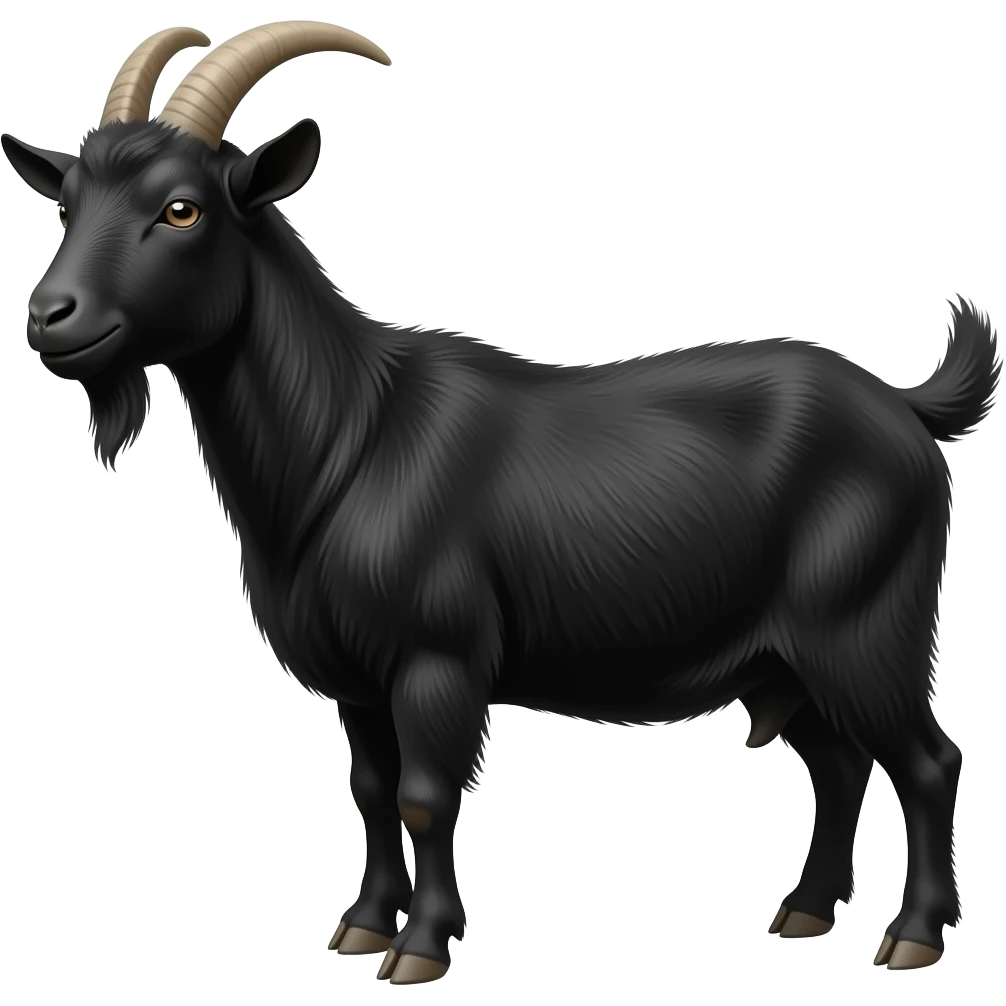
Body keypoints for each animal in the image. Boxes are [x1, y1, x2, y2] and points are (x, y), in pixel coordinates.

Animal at [3, 21, 997, 984]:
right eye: (67, 202)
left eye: (183, 208)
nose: (50, 317)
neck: (348, 439)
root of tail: (906, 409)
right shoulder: (358, 682)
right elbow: (371, 793)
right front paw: (361, 927)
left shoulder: (435, 661)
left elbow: (425, 798)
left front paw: (420, 948)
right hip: (785, 659)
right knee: (841, 763)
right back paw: (805, 912)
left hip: (865, 629)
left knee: (927, 761)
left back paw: (913, 936)